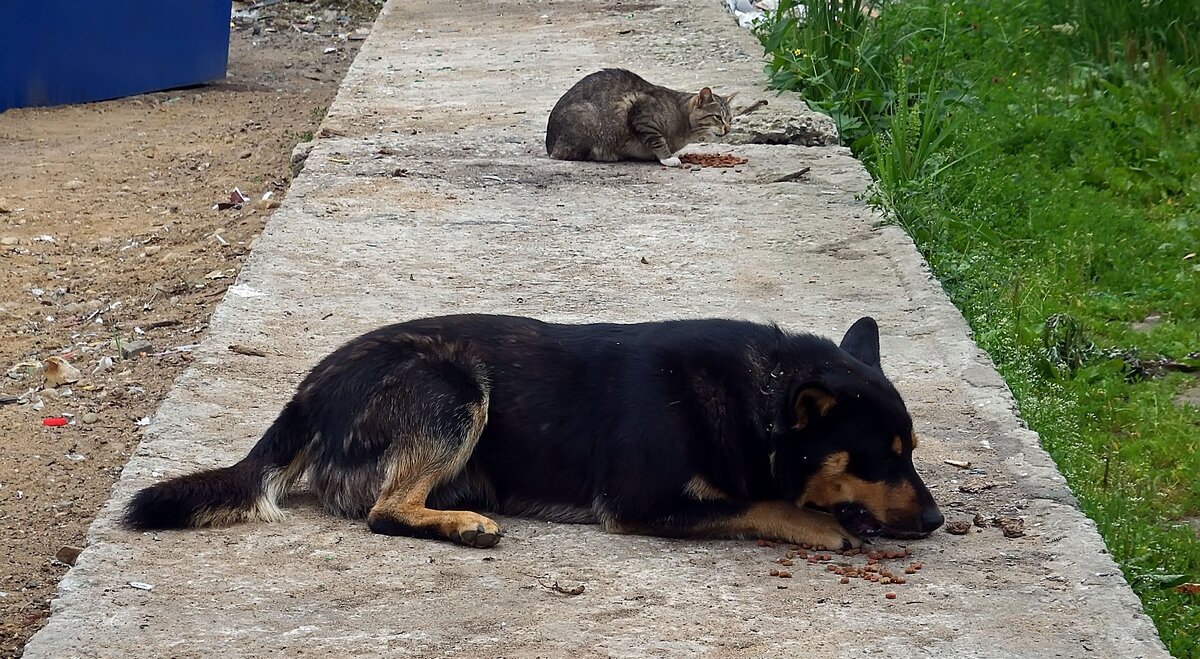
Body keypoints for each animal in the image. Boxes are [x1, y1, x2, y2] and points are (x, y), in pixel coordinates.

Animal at [124, 314, 945, 549]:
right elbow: (766, 502)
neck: (755, 399)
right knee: (385, 511)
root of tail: (305, 393)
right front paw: (826, 525)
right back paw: (462, 525)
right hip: (455, 389)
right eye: (879, 460)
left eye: (911, 454)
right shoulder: (641, 505)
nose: (938, 520)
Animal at [544, 68, 729, 166]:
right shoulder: (640, 113)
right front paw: (668, 158)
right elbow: (658, 141)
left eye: (730, 119)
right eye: (718, 117)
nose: (728, 129)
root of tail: (549, 144)